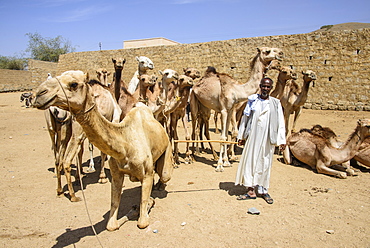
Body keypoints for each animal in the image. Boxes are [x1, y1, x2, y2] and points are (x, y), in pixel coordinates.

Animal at [32, 70, 174, 231]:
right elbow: (112, 221)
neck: (125, 144)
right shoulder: (116, 173)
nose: (39, 94)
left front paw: (147, 203)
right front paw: (134, 209)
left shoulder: (147, 173)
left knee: (164, 175)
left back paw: (159, 186)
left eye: (74, 84)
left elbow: (142, 221)